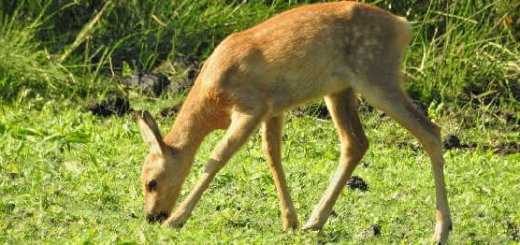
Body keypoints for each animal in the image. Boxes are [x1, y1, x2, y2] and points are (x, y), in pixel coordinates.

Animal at [133, 1, 450, 243]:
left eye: (151, 183)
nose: (152, 216)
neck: (213, 100)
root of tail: (403, 26)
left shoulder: (251, 108)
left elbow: (216, 158)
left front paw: (176, 220)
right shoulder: (273, 109)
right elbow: (273, 156)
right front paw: (290, 220)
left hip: (376, 77)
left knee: (431, 131)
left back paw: (441, 231)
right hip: (340, 90)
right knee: (355, 143)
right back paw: (314, 221)